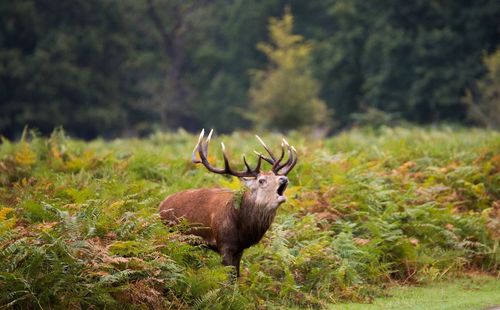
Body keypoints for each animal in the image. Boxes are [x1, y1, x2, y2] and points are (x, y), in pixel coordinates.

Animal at [158, 128, 296, 276]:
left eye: (276, 175)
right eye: (261, 180)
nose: (284, 178)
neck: (243, 227)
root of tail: (161, 205)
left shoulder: (240, 248)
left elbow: (236, 274)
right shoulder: (224, 244)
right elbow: (229, 276)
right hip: (170, 233)